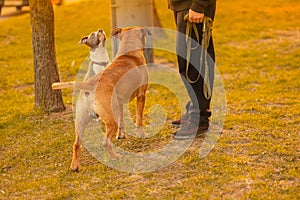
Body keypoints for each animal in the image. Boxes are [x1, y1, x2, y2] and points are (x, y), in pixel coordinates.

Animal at [52, 26, 150, 170]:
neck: (129, 53)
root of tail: (89, 84)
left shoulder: (119, 104)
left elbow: (122, 122)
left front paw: (121, 135)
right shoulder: (141, 96)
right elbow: (139, 119)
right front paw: (141, 134)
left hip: (81, 121)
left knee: (76, 144)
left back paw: (75, 166)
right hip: (110, 120)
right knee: (105, 142)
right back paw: (116, 157)